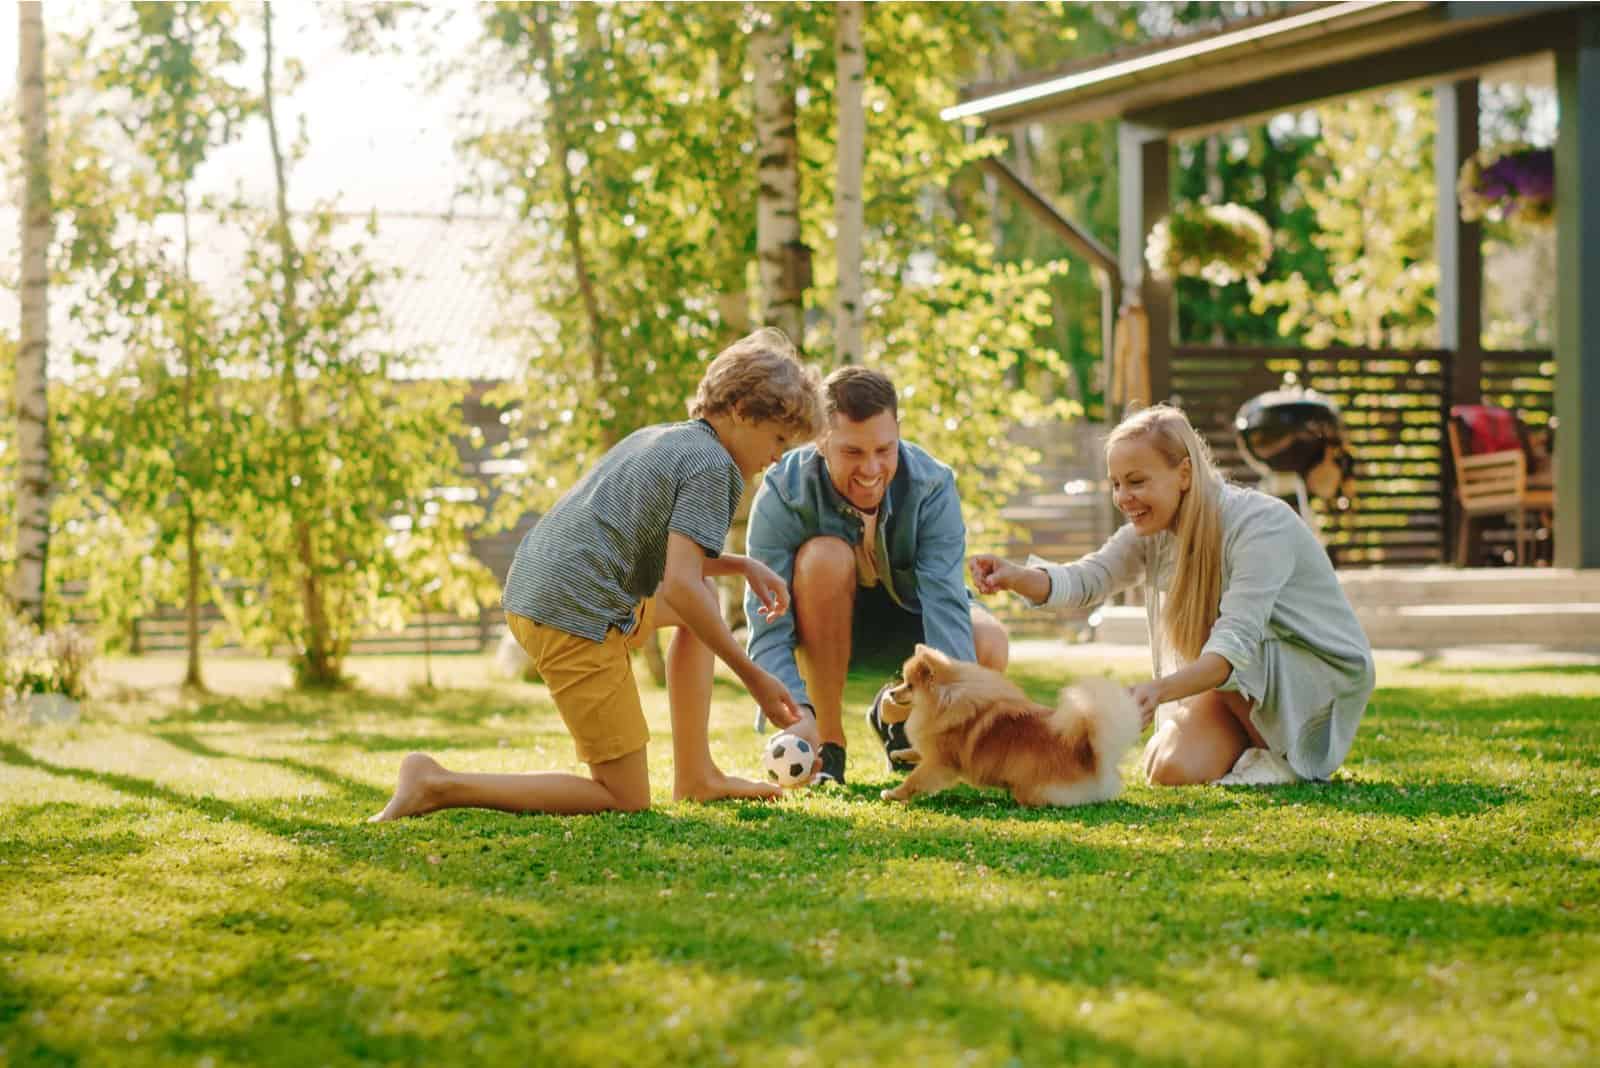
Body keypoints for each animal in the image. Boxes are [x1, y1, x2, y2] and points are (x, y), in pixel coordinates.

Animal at [883, 642, 1145, 808]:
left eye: (909, 685)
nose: (892, 693)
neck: (946, 700)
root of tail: (1090, 756)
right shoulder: (932, 748)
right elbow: (915, 751)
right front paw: (899, 754)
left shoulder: (941, 762)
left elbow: (915, 779)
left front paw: (893, 793)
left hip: (1033, 787)